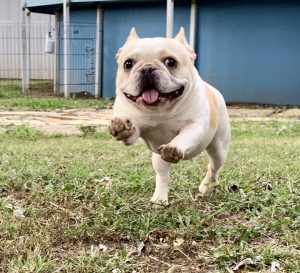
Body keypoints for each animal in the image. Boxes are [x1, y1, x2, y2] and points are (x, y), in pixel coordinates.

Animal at [108, 27, 230, 204]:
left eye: (171, 62)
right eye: (128, 64)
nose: (147, 68)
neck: (160, 112)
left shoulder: (194, 125)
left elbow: (185, 136)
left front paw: (175, 147)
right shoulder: (135, 128)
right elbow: (131, 131)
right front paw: (123, 127)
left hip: (219, 147)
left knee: (214, 167)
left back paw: (207, 187)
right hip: (158, 158)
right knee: (162, 175)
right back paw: (160, 198)